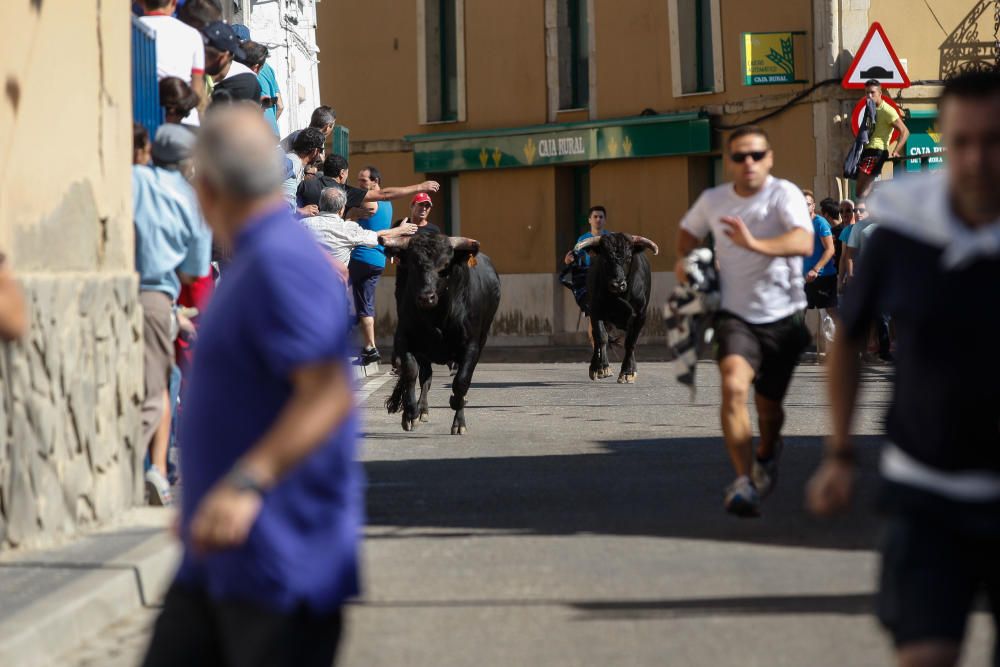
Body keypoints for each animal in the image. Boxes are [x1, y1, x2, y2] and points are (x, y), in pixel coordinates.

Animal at [382, 232, 500, 436]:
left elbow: (461, 381)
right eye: (414, 264)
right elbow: (410, 372)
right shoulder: (404, 339)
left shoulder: (472, 346)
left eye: (445, 265)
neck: (437, 316)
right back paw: (420, 410)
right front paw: (410, 412)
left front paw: (458, 418)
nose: (426, 297)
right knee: (425, 377)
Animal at [576, 232, 660, 384]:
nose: (617, 284)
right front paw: (602, 368)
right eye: (605, 259)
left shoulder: (640, 315)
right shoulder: (596, 311)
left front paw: (627, 372)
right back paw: (596, 367)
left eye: (629, 258)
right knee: (597, 338)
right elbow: (601, 337)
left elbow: (630, 343)